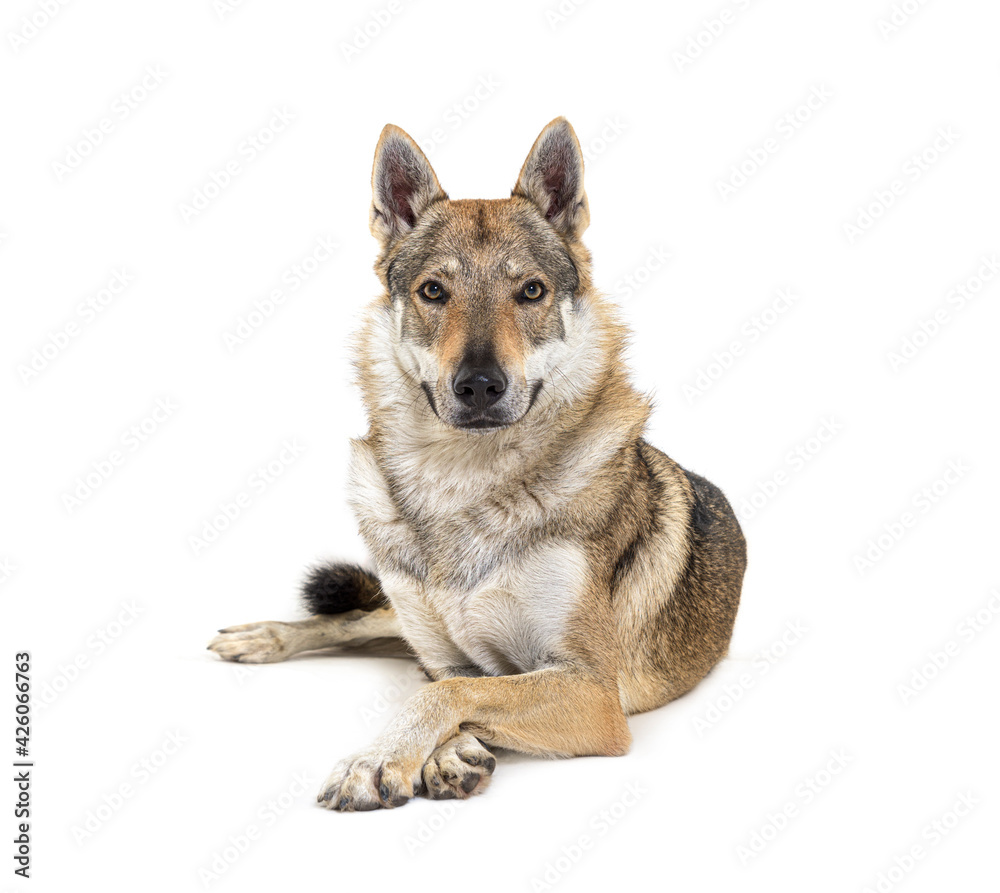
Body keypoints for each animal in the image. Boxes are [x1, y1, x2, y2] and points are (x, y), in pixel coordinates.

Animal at [207, 118, 748, 808]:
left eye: (531, 291)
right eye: (433, 291)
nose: (481, 385)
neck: (461, 480)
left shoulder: (592, 692)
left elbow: (453, 692)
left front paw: (385, 759)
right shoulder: (448, 654)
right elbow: (449, 682)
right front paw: (437, 754)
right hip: (396, 613)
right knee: (354, 618)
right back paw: (263, 637)